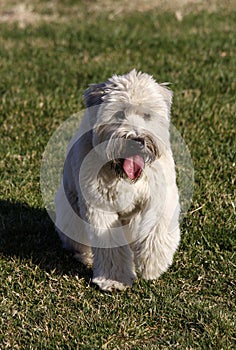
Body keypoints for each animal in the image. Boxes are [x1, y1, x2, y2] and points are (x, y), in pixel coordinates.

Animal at [55, 69, 181, 292]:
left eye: (147, 115)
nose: (137, 140)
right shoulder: (99, 207)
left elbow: (157, 228)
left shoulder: (162, 194)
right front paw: (114, 279)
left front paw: (152, 264)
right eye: (119, 113)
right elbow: (110, 245)